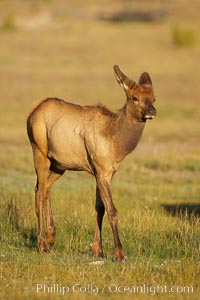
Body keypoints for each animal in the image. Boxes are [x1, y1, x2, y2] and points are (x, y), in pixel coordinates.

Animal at [26, 65, 156, 260]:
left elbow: (99, 207)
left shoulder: (105, 172)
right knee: (40, 191)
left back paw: (50, 235)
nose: (151, 111)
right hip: (39, 151)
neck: (116, 142)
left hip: (59, 164)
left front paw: (98, 249)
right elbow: (112, 210)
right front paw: (119, 253)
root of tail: (31, 112)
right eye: (135, 97)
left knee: (43, 188)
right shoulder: (101, 170)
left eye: (154, 97)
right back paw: (42, 243)